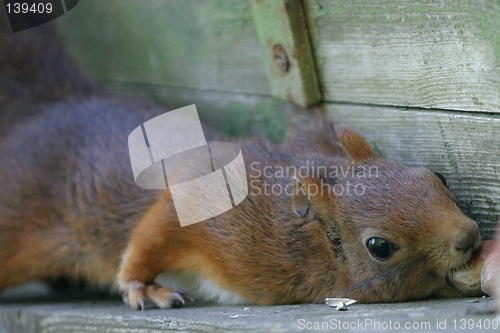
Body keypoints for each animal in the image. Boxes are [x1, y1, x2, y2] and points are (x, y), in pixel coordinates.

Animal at [0, 18, 484, 308]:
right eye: (379, 246)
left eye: (436, 176)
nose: (469, 236)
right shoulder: (221, 211)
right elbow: (153, 233)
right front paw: (141, 286)